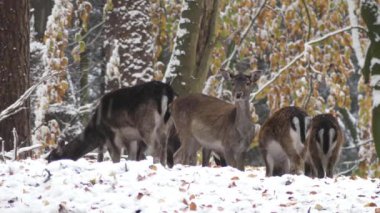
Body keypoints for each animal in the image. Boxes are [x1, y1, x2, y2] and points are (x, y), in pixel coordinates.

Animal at [46, 80, 175, 166]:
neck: (97, 132)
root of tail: (168, 93)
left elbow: (116, 158)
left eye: (52, 156)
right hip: (166, 127)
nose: (46, 160)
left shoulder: (112, 135)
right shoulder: (131, 139)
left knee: (157, 147)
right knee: (164, 148)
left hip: (146, 126)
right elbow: (131, 157)